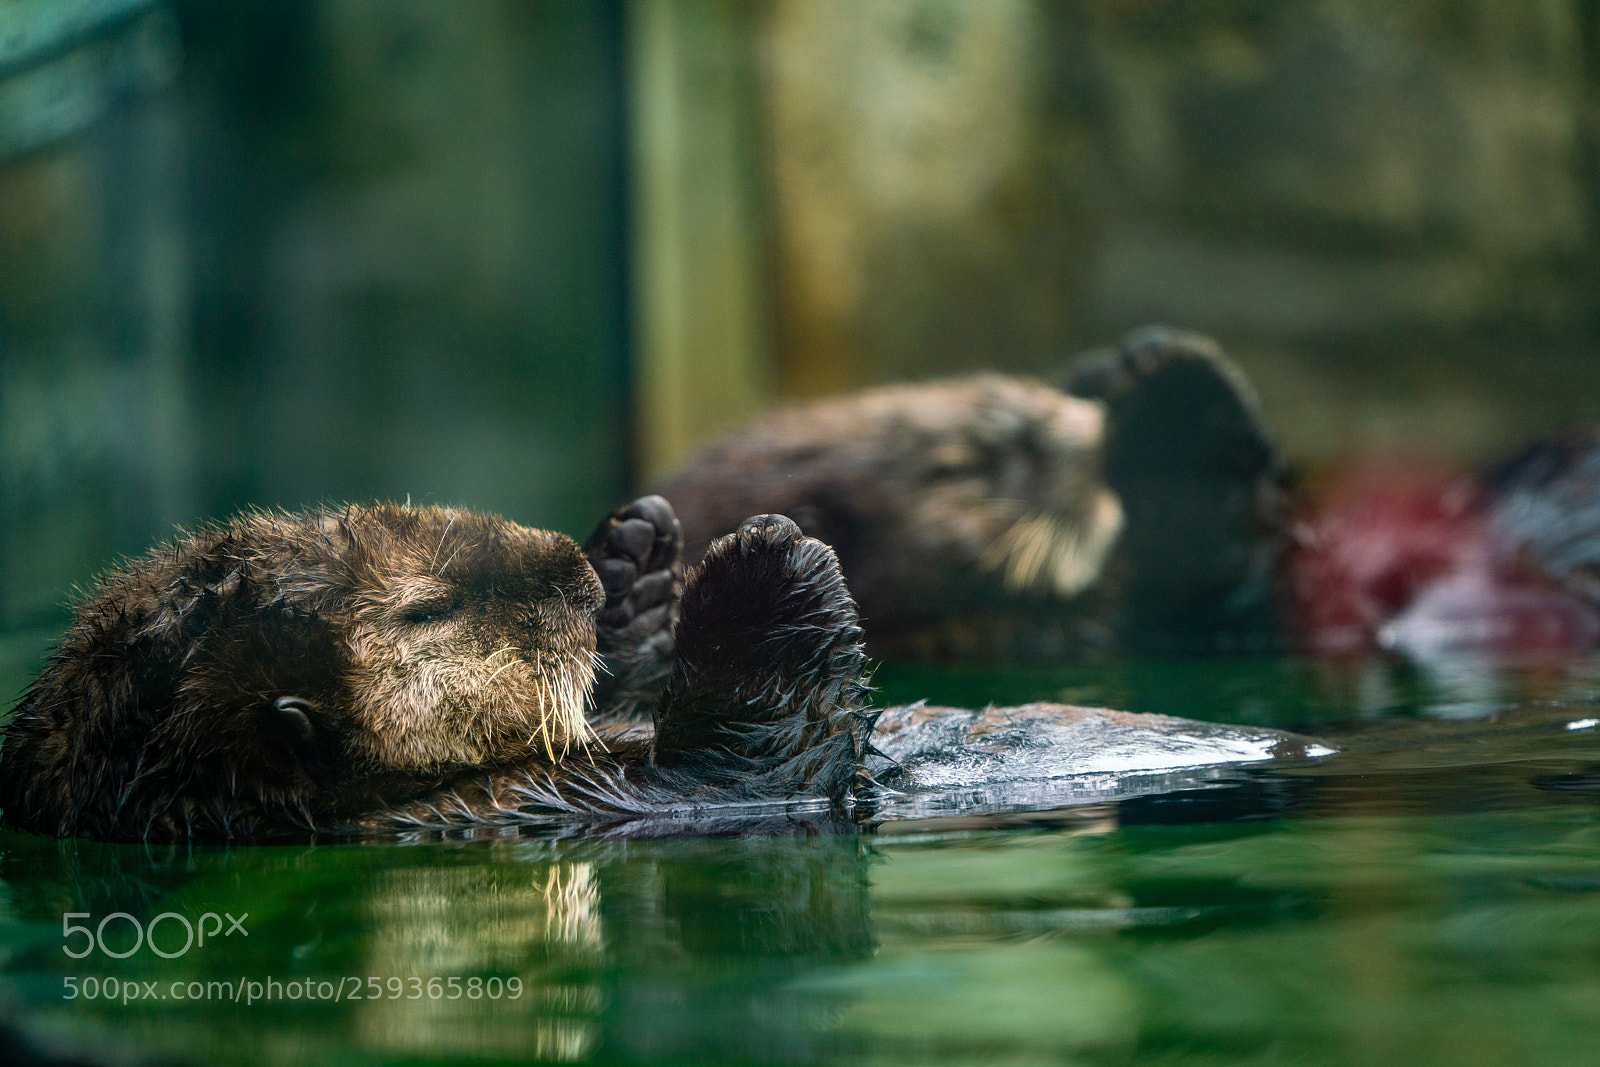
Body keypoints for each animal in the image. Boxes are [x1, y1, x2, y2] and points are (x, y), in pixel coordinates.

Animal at [0, 500, 874, 842]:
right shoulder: (526, 805)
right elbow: (765, 757)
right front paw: (761, 574)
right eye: (427, 609)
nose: (580, 578)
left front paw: (635, 560)